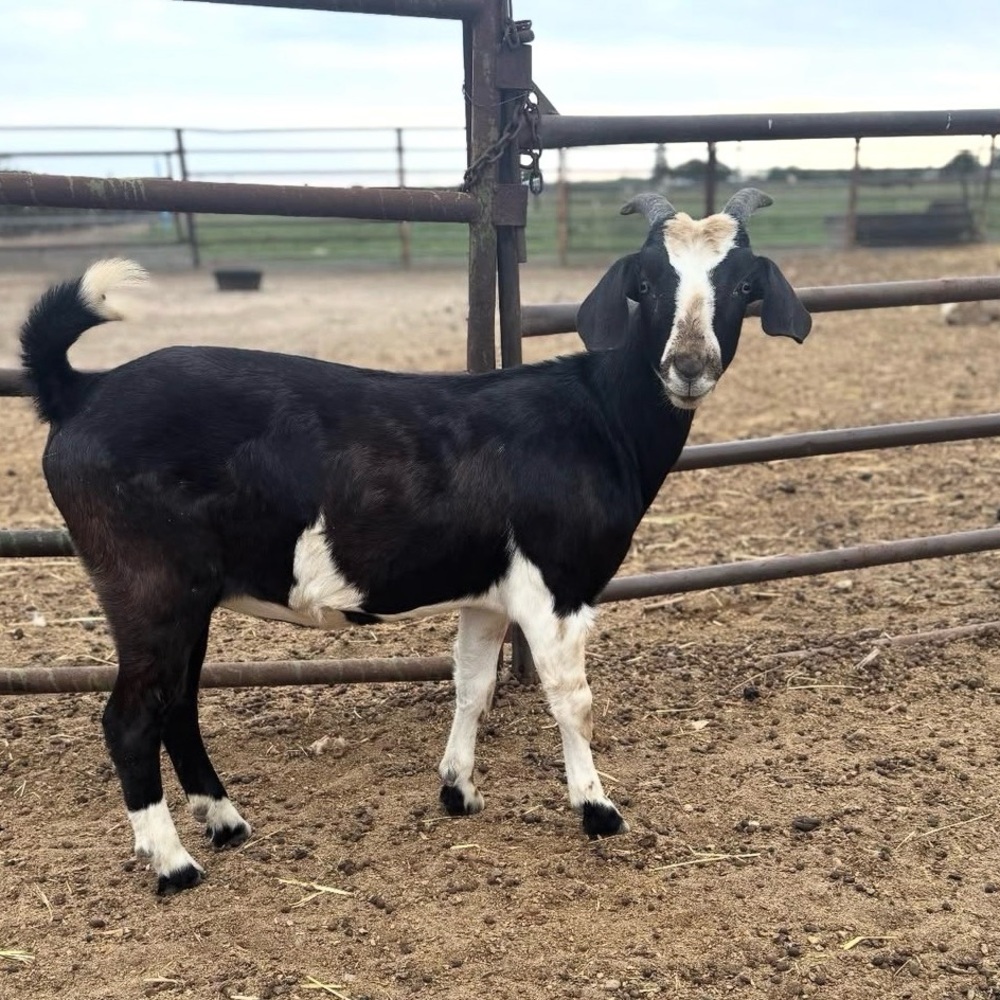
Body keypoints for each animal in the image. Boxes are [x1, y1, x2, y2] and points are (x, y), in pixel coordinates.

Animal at [19, 189, 811, 895]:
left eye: (744, 285)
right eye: (644, 284)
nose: (689, 364)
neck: (598, 417)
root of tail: (78, 392)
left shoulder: (489, 594)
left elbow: (472, 685)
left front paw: (458, 791)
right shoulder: (557, 587)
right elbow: (571, 698)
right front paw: (597, 809)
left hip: (191, 597)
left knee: (177, 704)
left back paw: (226, 823)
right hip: (148, 584)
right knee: (130, 718)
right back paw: (175, 864)